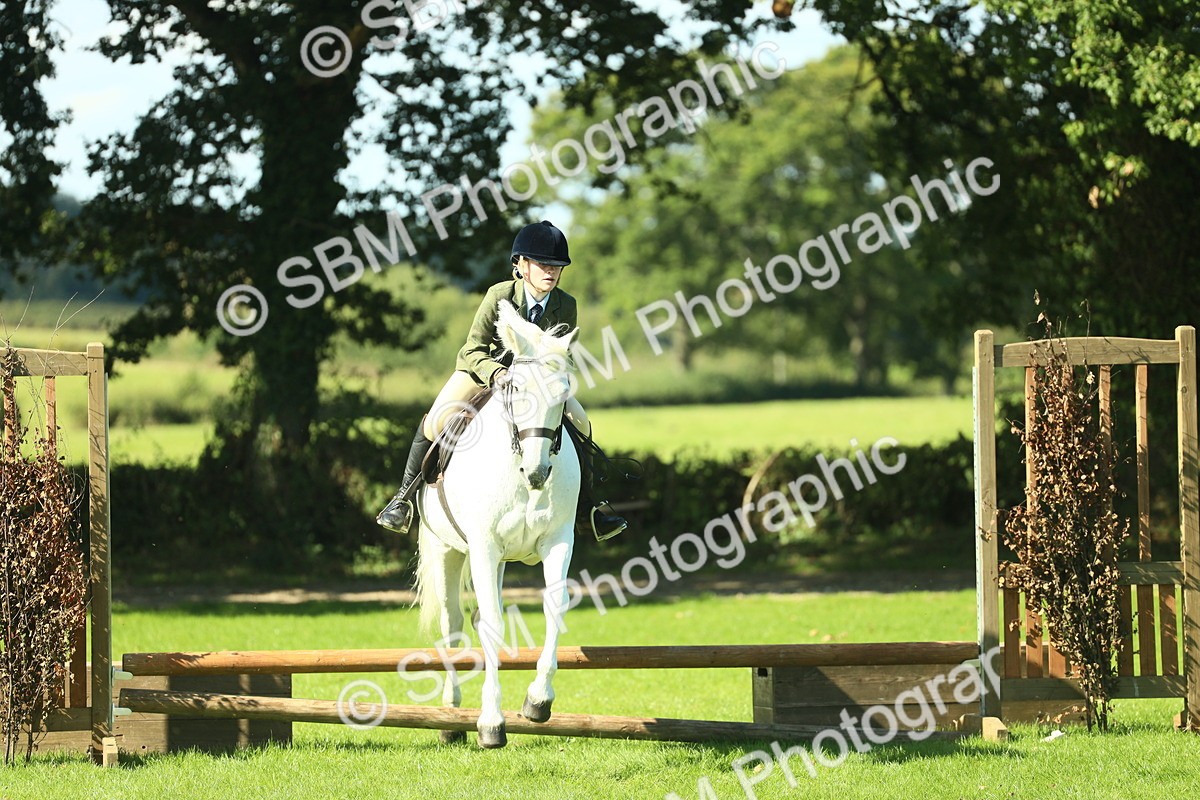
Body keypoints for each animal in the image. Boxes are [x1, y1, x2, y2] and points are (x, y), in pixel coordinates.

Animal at [413, 300, 581, 748]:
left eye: (564, 393)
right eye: (516, 389)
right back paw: (451, 715)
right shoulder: (484, 546)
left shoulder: (558, 541)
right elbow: (490, 623)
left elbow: (555, 607)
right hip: (447, 550)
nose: (537, 474)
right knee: (453, 624)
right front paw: (490, 722)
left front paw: (538, 700)